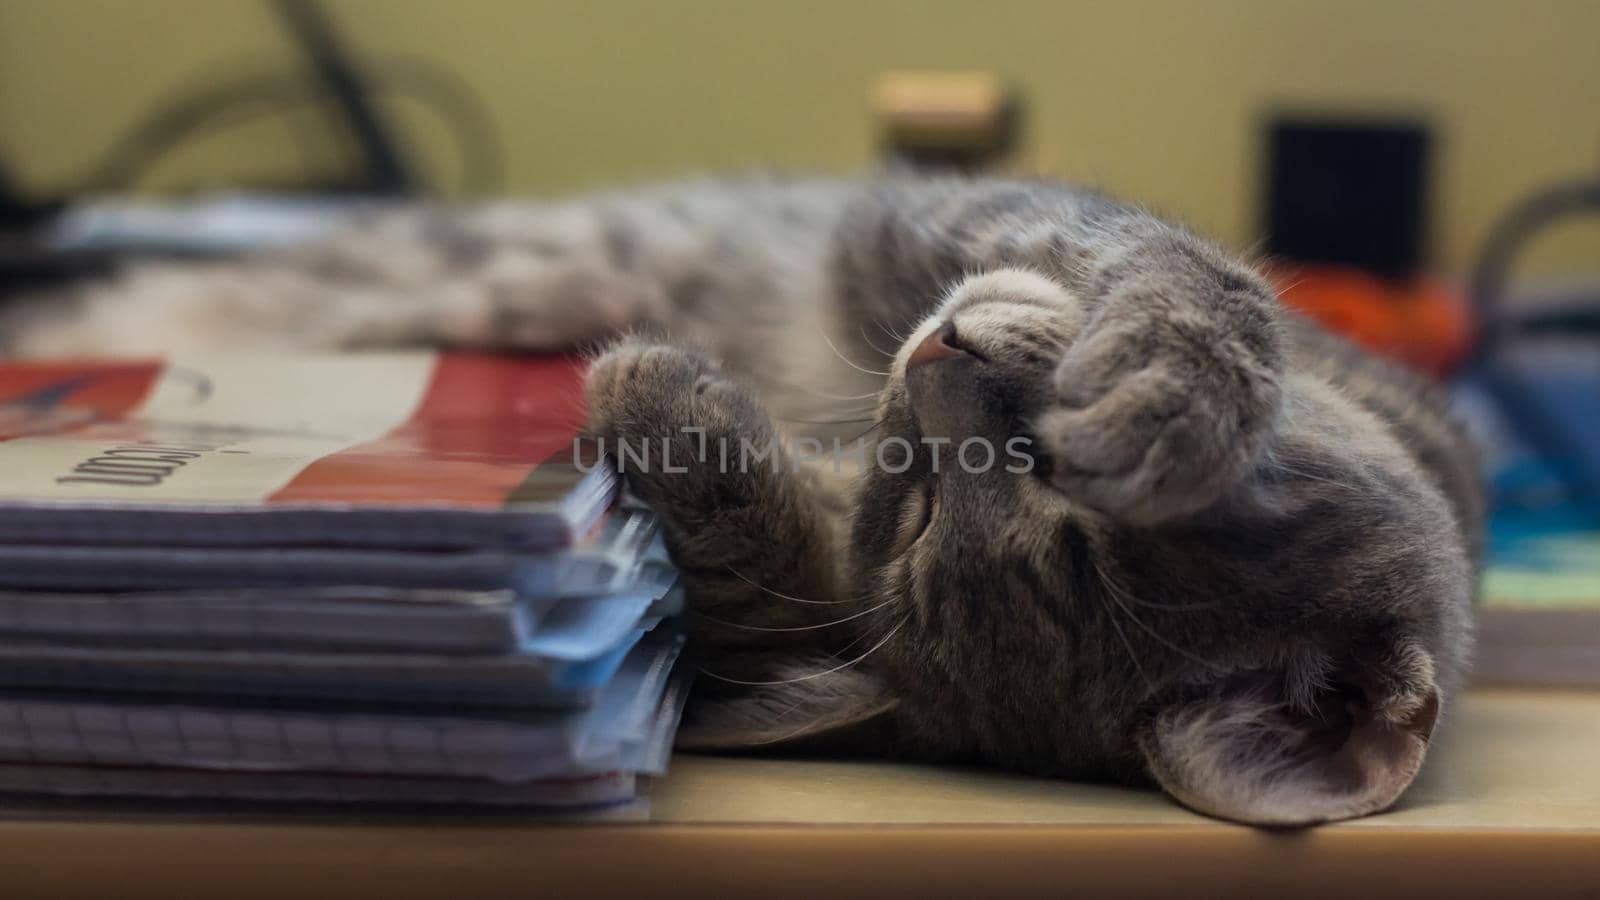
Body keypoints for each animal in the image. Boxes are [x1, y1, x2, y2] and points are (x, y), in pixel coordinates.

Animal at [3, 171, 1472, 826]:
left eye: (919, 509)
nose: (939, 358)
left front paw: (673, 413)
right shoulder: (948, 218)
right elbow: (1175, 270)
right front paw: (1172, 381)